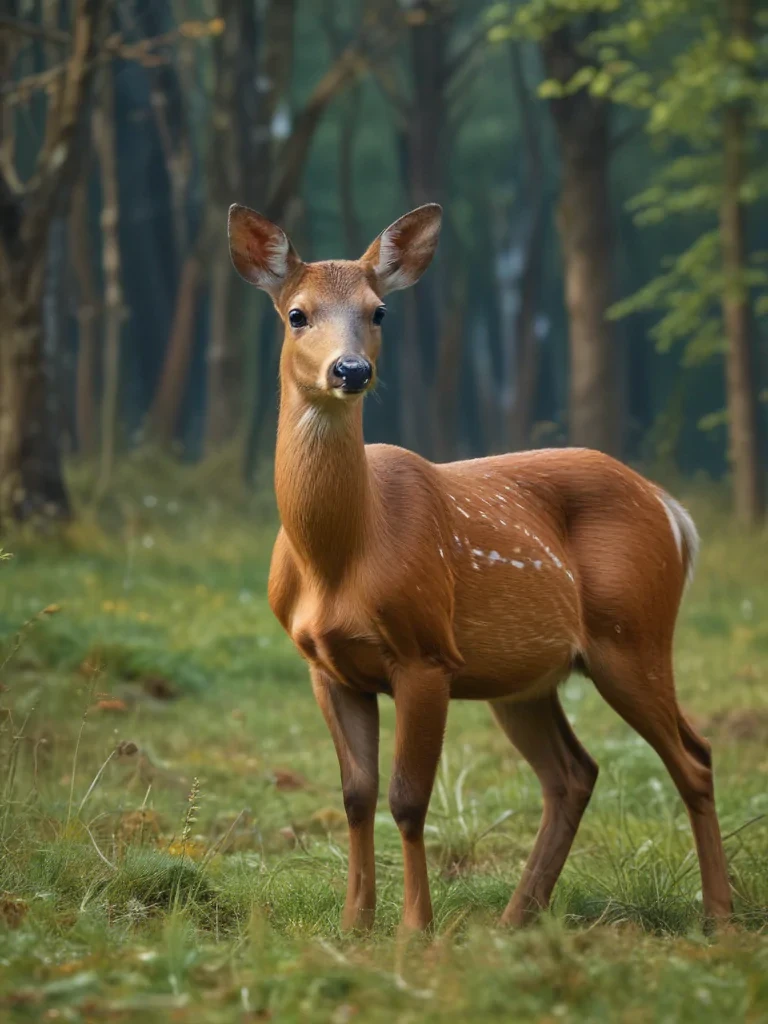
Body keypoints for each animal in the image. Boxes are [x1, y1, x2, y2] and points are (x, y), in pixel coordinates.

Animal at [228, 201, 732, 934]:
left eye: (379, 311)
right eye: (297, 314)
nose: (351, 370)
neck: (339, 558)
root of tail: (671, 509)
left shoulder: (426, 651)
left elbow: (408, 798)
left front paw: (416, 928)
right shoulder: (325, 665)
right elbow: (356, 795)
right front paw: (354, 925)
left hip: (633, 632)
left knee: (693, 757)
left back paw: (719, 915)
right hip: (524, 676)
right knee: (573, 773)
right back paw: (517, 918)